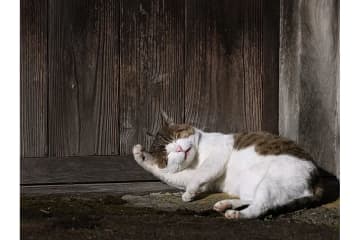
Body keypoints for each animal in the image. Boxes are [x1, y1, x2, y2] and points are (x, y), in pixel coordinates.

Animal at [133, 111, 324, 218]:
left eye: (176, 137)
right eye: (167, 155)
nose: (179, 149)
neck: (197, 157)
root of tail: (315, 177)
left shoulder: (219, 154)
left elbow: (201, 172)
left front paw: (189, 192)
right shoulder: (193, 177)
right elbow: (170, 175)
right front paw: (140, 156)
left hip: (272, 181)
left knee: (262, 206)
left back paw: (237, 214)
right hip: (252, 183)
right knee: (254, 198)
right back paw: (227, 204)